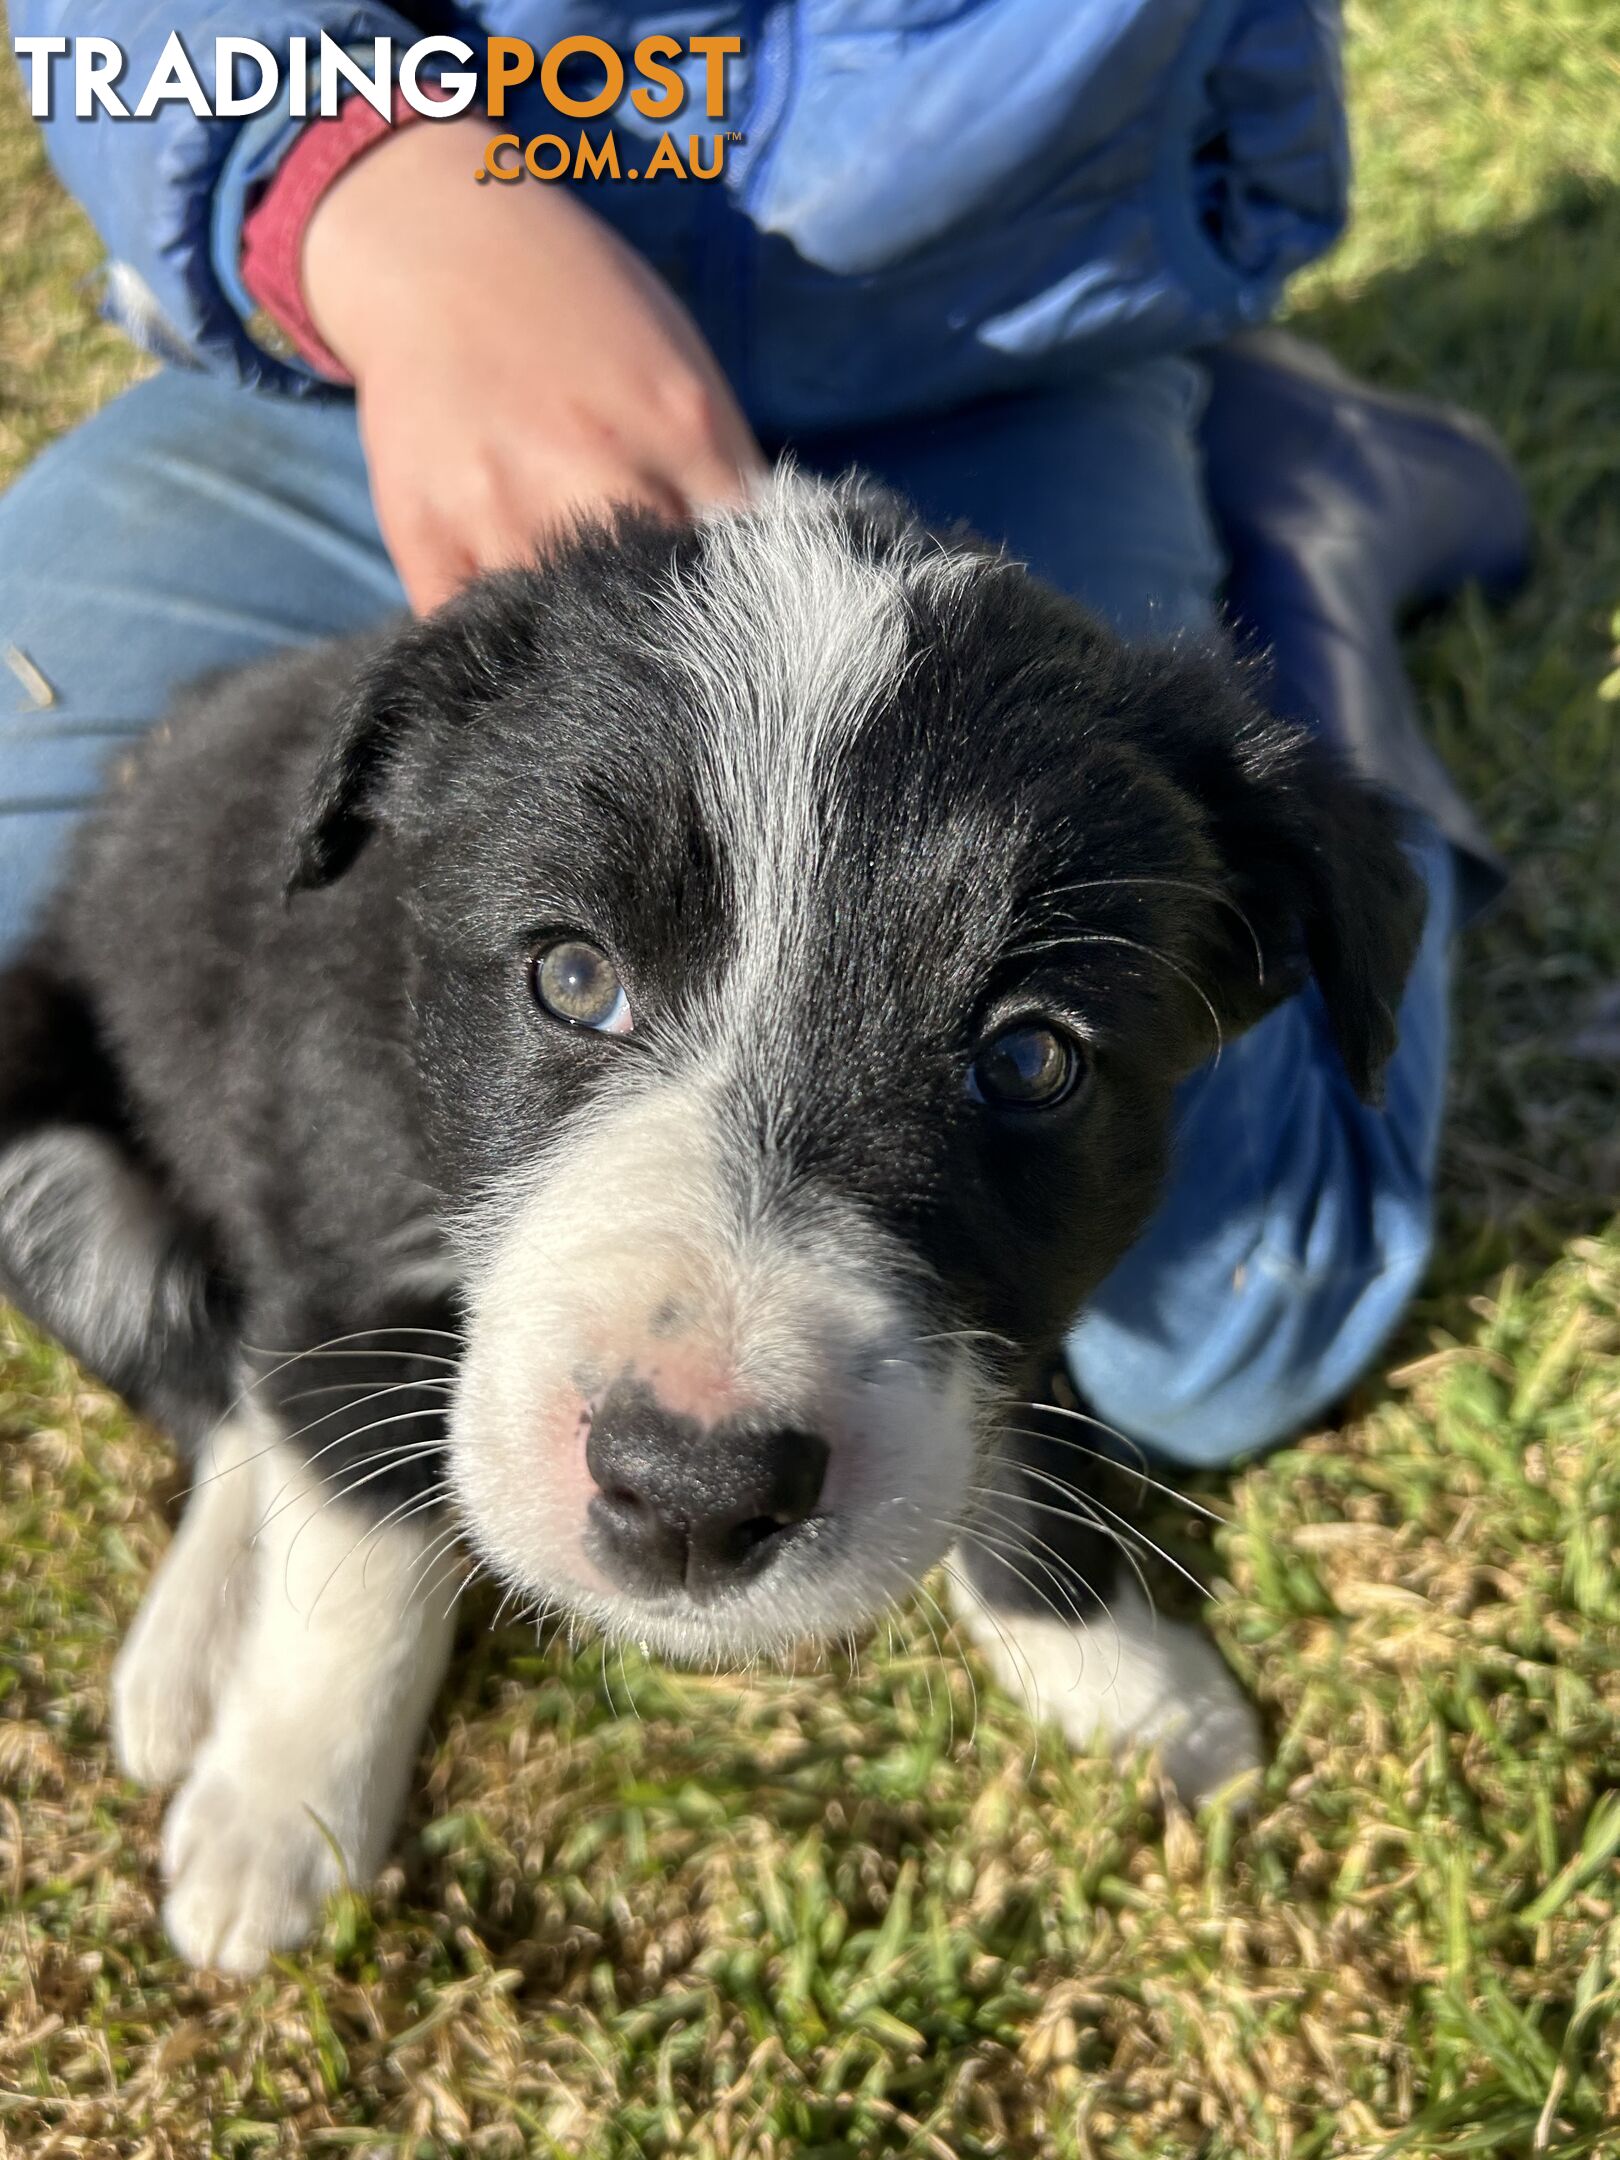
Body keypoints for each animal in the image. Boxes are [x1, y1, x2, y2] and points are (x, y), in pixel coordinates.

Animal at [0, 473, 1416, 1978]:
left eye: (1031, 1061)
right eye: (572, 976)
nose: (691, 1496)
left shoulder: (1036, 1276)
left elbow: (1027, 1428)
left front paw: (1125, 1680)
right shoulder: (334, 1208)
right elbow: (355, 1538)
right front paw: (281, 1813)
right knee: (218, 1396)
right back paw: (187, 1652)